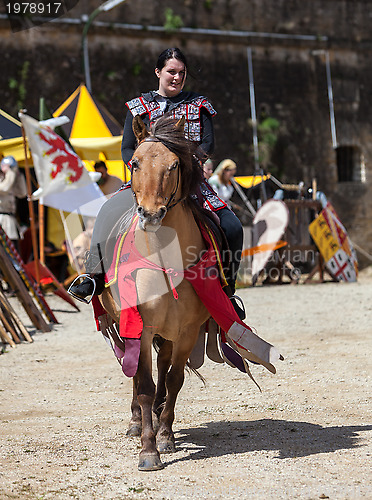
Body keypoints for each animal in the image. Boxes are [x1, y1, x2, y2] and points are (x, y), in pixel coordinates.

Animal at [100, 114, 214, 472]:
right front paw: (148, 449)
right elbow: (145, 385)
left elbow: (174, 379)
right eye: (134, 163)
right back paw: (137, 420)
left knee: (163, 368)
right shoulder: (141, 326)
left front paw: (165, 435)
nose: (151, 214)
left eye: (174, 164)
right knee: (136, 374)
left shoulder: (187, 330)